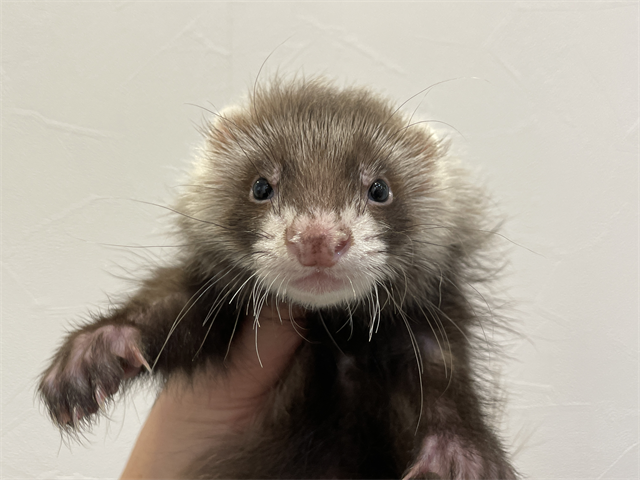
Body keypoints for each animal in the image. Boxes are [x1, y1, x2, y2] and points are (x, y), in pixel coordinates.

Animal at [39, 77, 518, 480]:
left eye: (380, 188)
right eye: (260, 186)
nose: (318, 238)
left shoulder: (426, 329)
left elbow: (443, 382)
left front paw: (459, 456)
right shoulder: (212, 300)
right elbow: (170, 310)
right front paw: (97, 349)